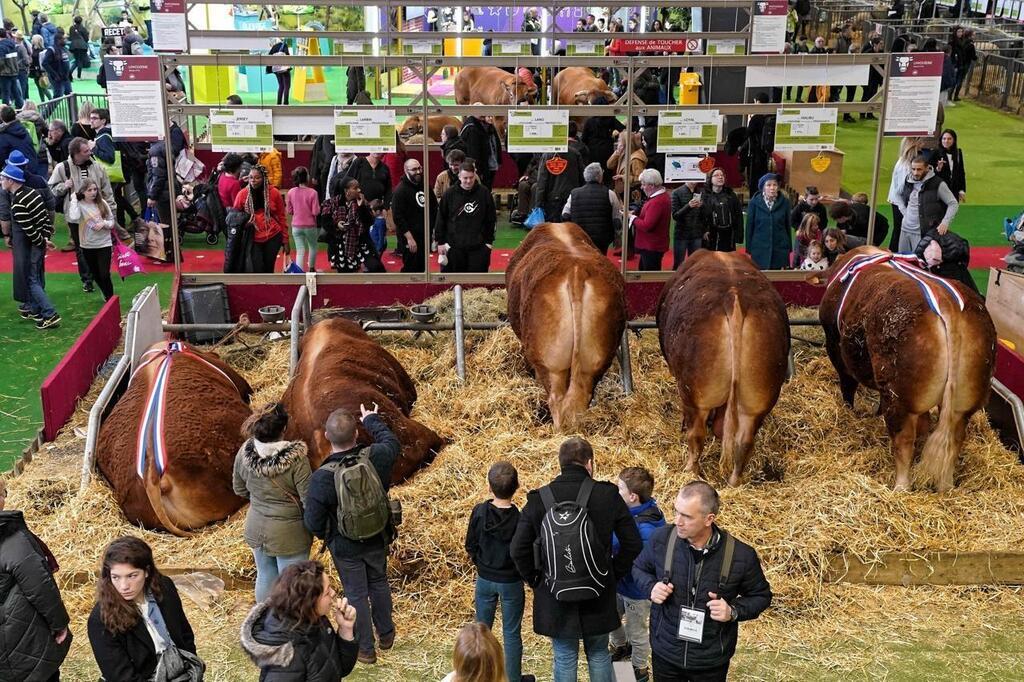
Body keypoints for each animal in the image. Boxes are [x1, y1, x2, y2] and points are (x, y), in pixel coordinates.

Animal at [655, 249, 790, 483]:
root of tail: (734, 298)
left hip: (695, 394)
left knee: (696, 435)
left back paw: (689, 471)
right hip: (759, 397)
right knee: (744, 441)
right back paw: (734, 482)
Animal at [806, 246, 991, 491]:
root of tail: (947, 303)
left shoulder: (835, 347)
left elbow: (847, 386)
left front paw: (848, 410)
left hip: (899, 397)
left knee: (903, 442)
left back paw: (899, 488)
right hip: (963, 400)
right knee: (953, 440)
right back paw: (945, 486)